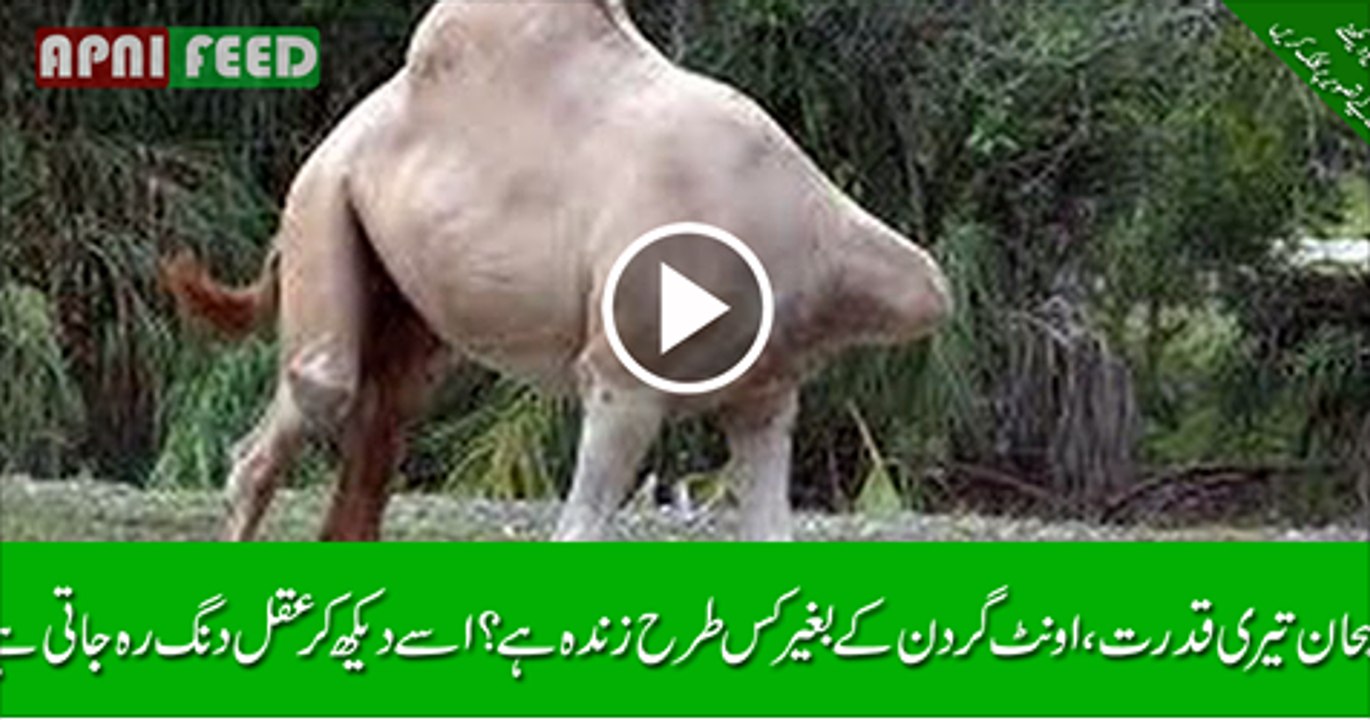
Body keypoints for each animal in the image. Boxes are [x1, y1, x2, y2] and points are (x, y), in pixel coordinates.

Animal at [163, 0, 951, 542]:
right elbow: (578, 528)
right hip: (321, 204)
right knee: (313, 396)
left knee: (382, 425)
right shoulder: (621, 377)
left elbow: (770, 535)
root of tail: (340, 135)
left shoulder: (764, 393)